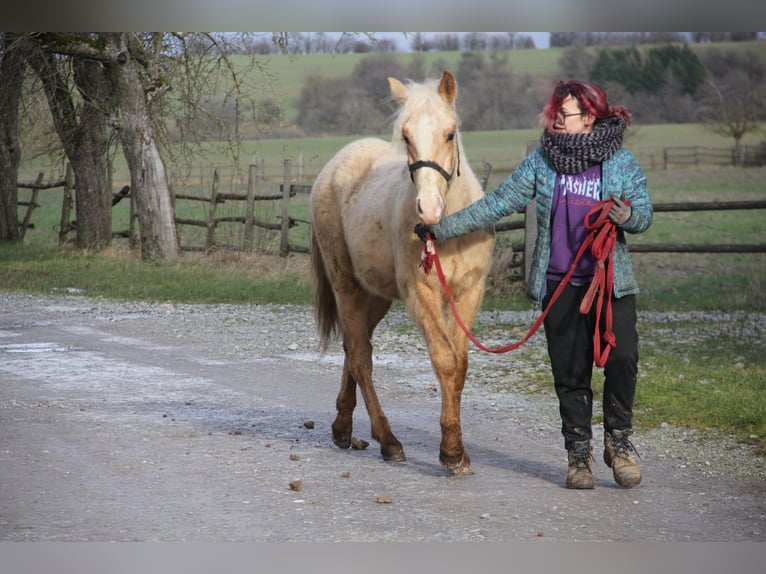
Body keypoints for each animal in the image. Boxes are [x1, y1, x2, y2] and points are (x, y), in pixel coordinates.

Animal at [312, 71, 498, 476]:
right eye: (407, 137)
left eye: (450, 133)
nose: (428, 209)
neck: (450, 227)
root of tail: (335, 165)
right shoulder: (421, 294)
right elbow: (444, 360)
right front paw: (451, 452)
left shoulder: (469, 292)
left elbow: (460, 365)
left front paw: (460, 451)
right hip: (346, 284)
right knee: (360, 355)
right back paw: (388, 440)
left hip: (377, 295)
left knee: (354, 347)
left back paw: (343, 427)